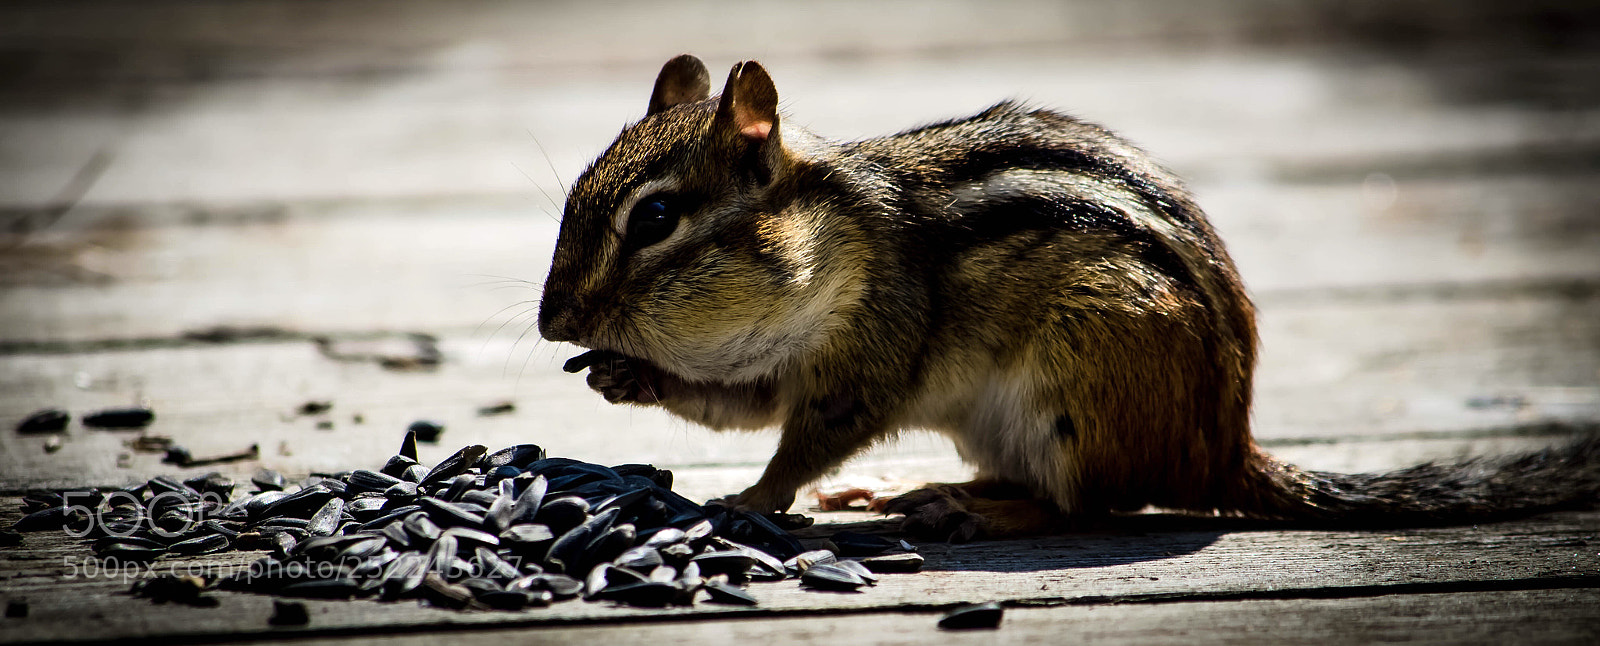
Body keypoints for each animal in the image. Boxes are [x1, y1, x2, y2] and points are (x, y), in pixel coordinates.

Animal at [538, 54, 1600, 541]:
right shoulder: (774, 368)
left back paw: (968, 510)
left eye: (655, 218)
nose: (553, 323)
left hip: (1080, 385)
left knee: (1090, 505)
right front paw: (626, 377)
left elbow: (808, 437)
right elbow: (740, 407)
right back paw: (920, 490)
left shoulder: (872, 343)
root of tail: (1223, 447)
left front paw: (751, 499)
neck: (830, 240)